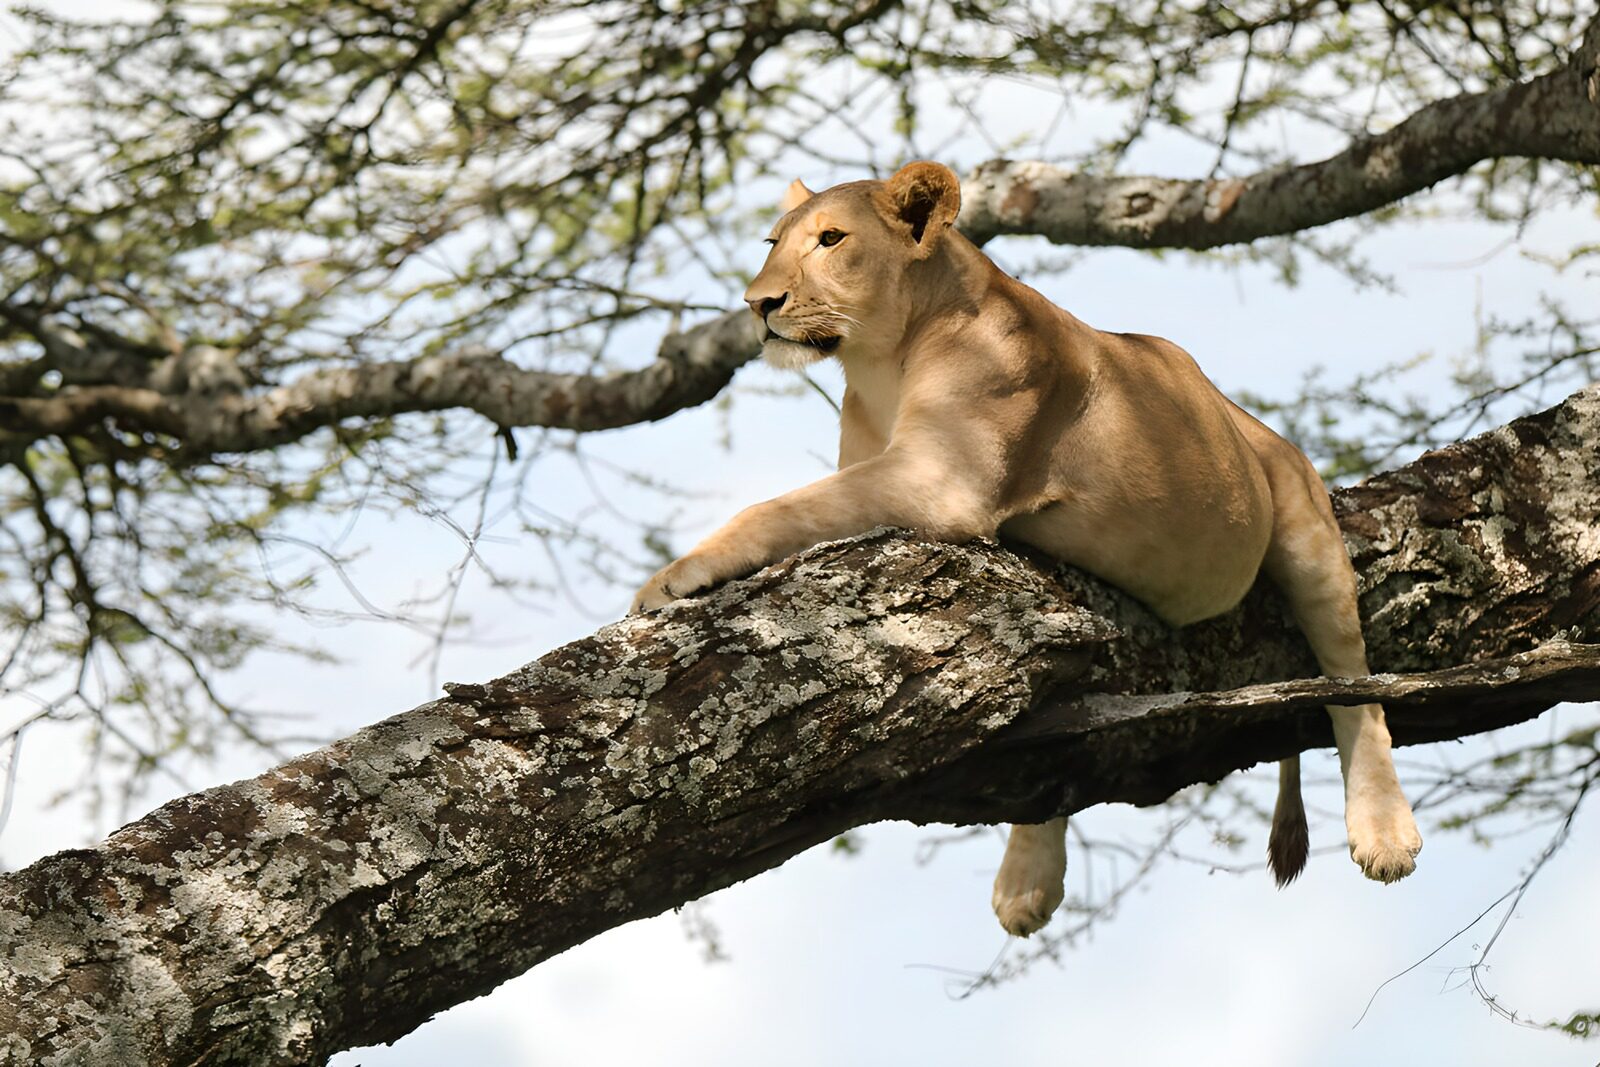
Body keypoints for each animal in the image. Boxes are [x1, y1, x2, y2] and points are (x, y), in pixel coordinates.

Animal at [631, 161, 1422, 937]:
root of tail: (1245, 420)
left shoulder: (943, 479)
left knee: (1356, 685)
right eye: (773, 241)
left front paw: (672, 577)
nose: (758, 303)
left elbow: (778, 505)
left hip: (1304, 524)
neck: (881, 362)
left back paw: (1384, 830)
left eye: (830, 239)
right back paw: (1026, 881)